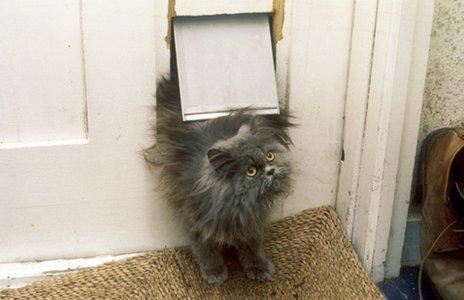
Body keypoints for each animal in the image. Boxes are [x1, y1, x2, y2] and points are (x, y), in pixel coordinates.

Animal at [145, 76, 292, 284]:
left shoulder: (254, 223)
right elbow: (207, 252)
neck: (238, 208)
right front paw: (215, 274)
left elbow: (254, 247)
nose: (270, 171)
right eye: (251, 171)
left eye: (269, 156)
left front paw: (259, 268)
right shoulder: (196, 222)